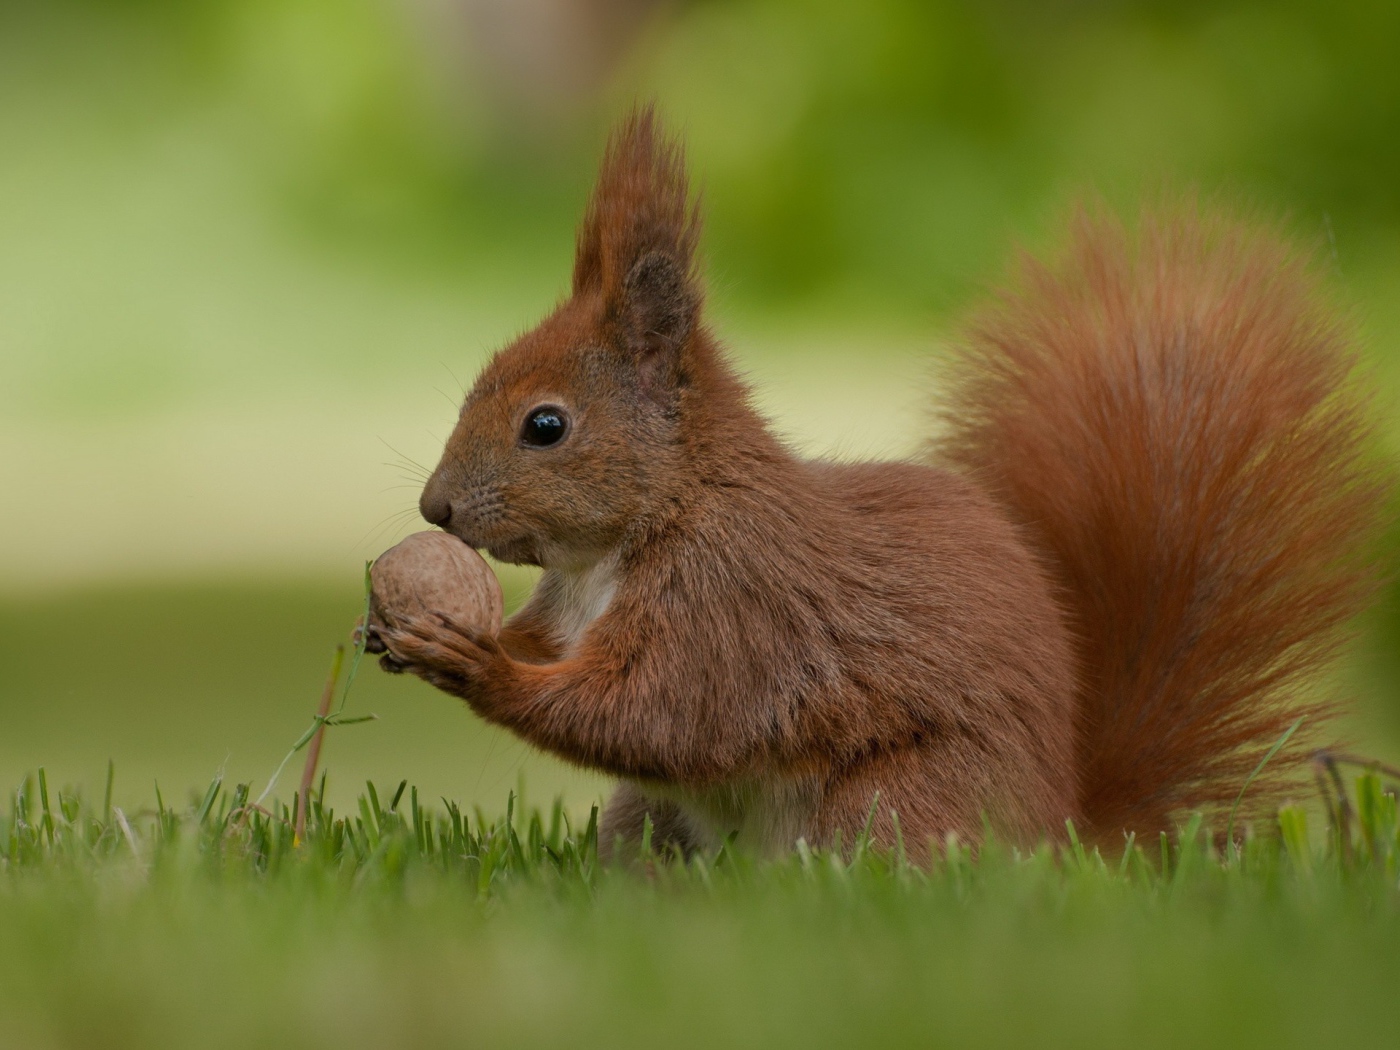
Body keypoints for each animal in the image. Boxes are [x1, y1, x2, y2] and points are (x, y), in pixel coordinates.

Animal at [372, 111, 1388, 856]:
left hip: (891, 805)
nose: (435, 508)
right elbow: (559, 657)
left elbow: (655, 715)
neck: (628, 539)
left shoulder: (735, 607)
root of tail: (1061, 833)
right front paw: (407, 631)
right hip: (649, 820)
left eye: (546, 426)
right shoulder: (575, 608)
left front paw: (479, 665)